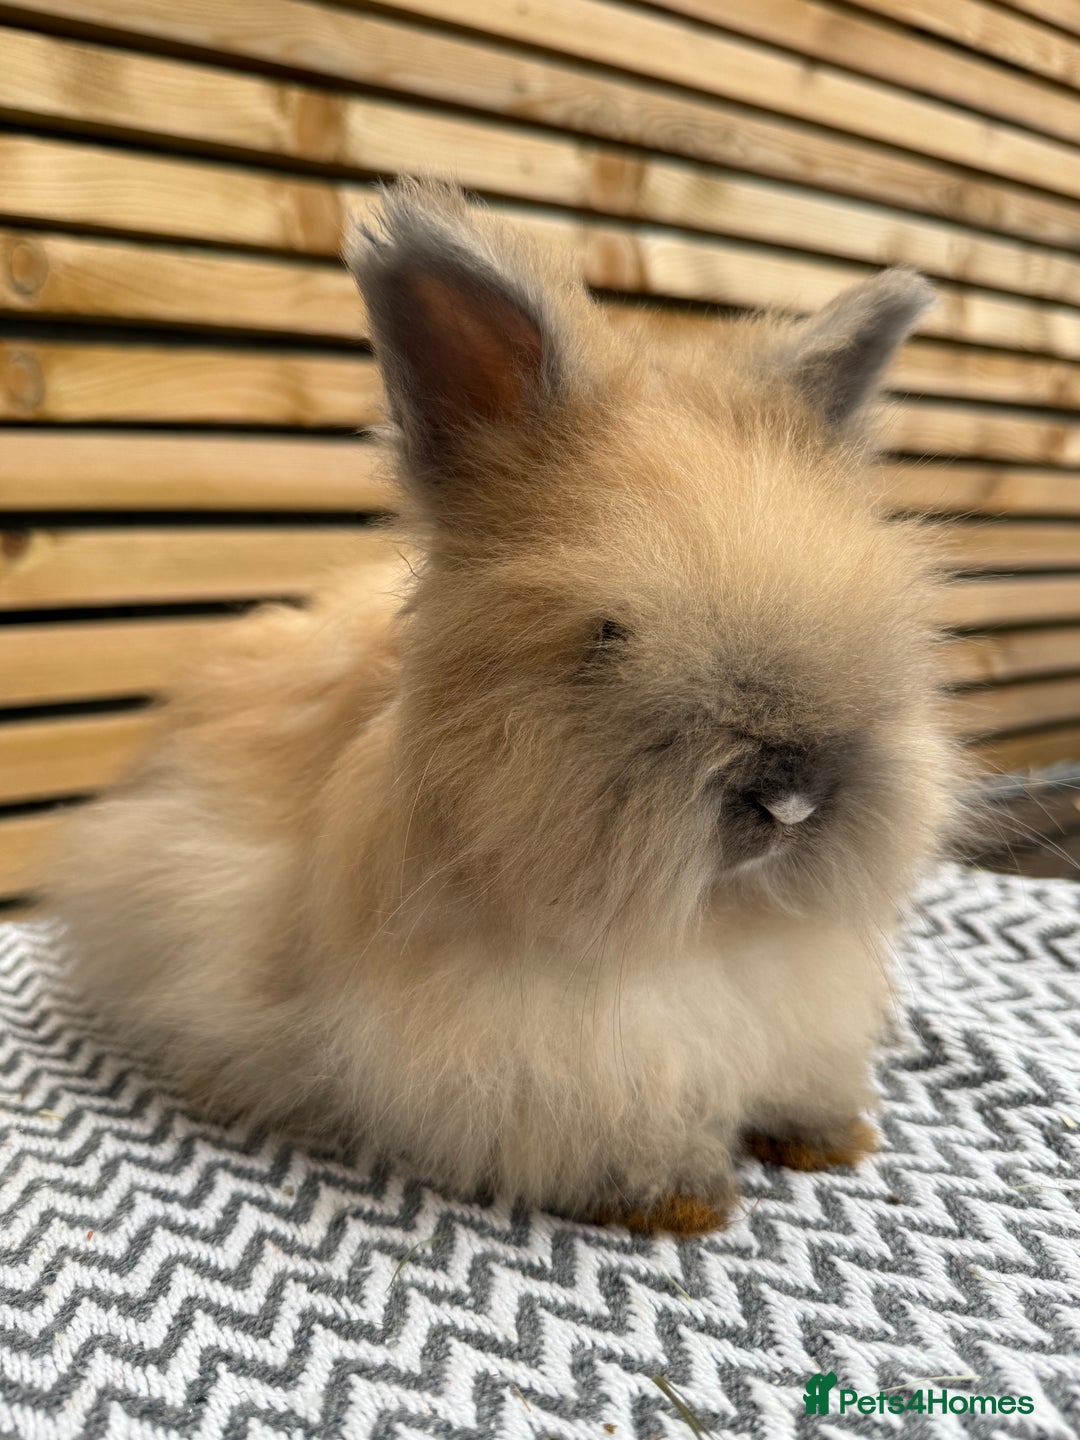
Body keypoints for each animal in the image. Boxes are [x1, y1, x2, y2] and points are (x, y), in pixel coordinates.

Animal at [50, 179, 959, 1236]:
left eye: (886, 616)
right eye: (607, 634)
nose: (791, 800)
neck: (695, 934)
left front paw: (827, 1137)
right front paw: (682, 1196)